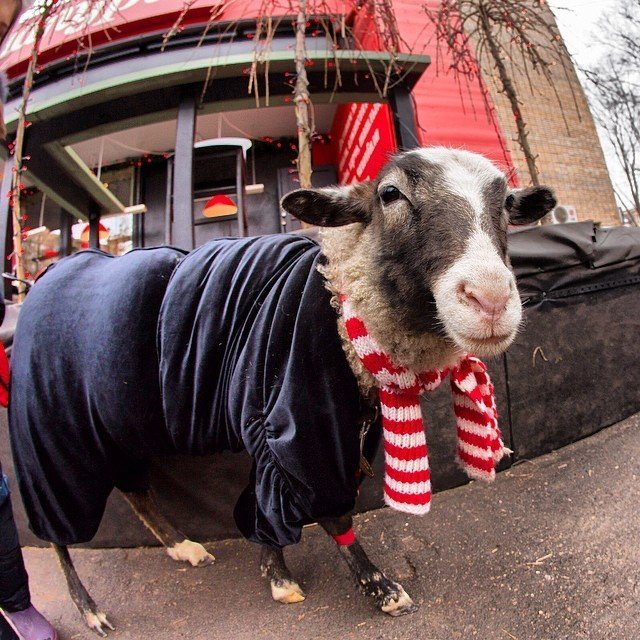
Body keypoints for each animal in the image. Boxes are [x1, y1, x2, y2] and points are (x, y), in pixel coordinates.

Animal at [6, 148, 556, 632]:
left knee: (134, 487)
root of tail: (47, 275)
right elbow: (329, 512)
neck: (338, 303)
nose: (490, 299)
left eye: (506, 204)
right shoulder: (300, 424)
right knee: (57, 530)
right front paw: (373, 587)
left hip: (115, 419)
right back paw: (88, 609)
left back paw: (182, 547)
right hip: (50, 429)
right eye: (391, 193)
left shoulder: (292, 423)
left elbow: (265, 500)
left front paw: (275, 569)